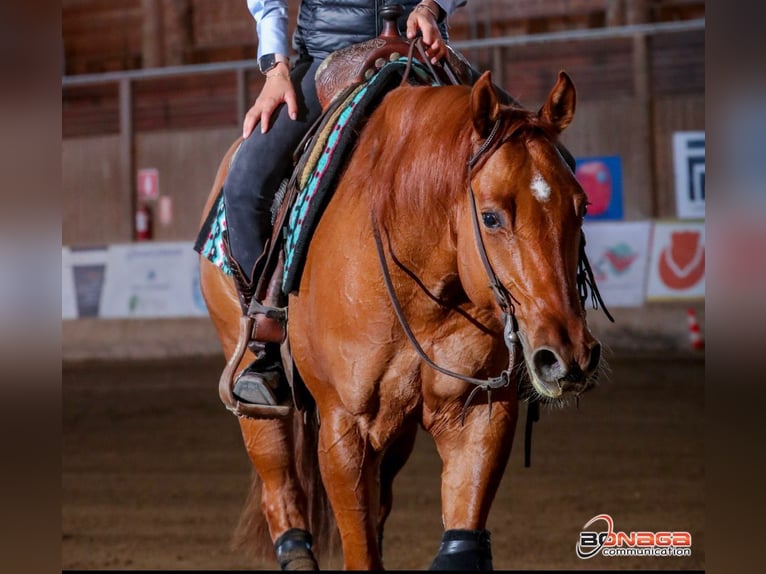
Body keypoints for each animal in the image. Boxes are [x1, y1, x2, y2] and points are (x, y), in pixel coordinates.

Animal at [199, 67, 603, 570]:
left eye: (582, 206)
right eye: (490, 217)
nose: (568, 356)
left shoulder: (478, 417)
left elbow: (459, 534)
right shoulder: (343, 429)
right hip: (255, 399)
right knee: (279, 484)